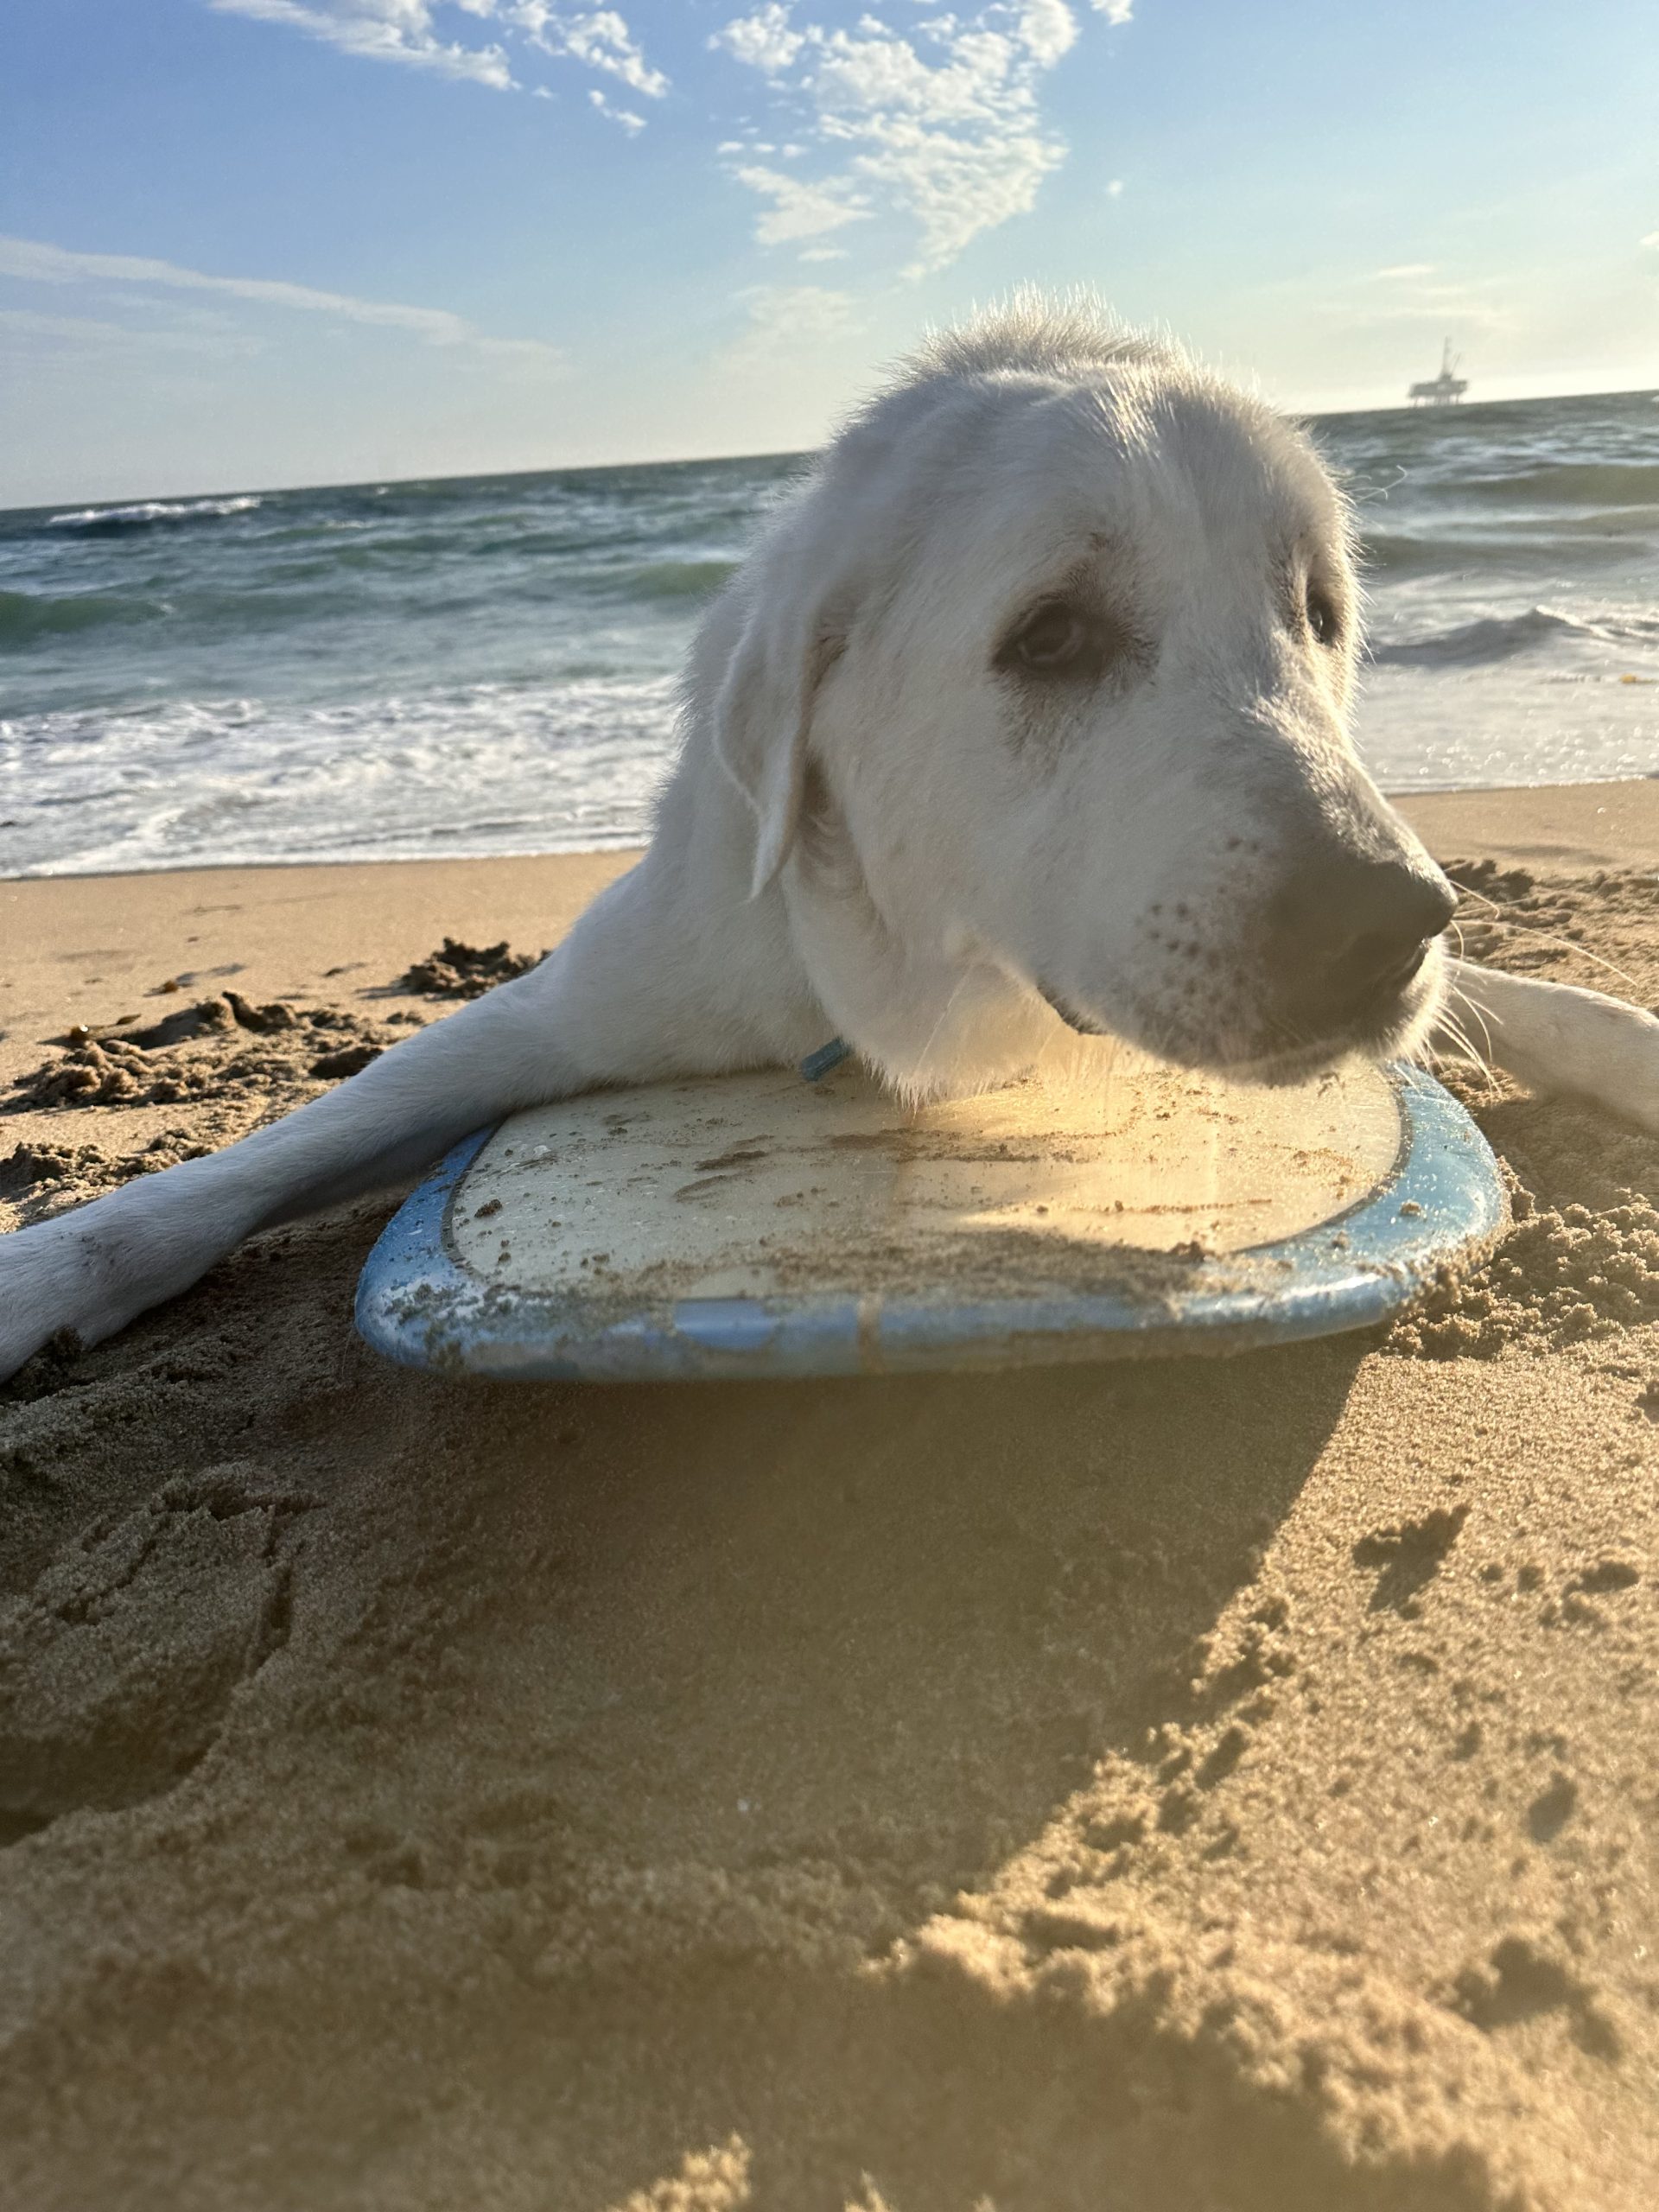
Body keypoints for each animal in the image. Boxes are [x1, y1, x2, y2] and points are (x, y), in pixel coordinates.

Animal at [3, 301, 1659, 1371]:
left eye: (1317, 617)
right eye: (1051, 636)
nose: (1384, 924)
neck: (922, 979)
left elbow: (1509, 995)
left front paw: (1615, 1034)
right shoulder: (585, 997)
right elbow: (258, 1159)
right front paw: (46, 1272)